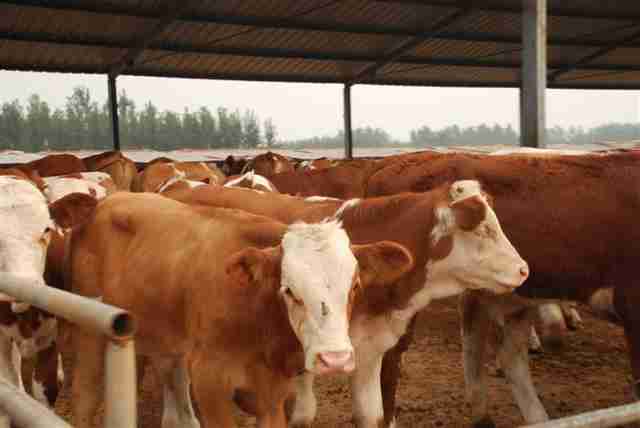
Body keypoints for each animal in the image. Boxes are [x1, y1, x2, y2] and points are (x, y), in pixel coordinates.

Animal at [66, 192, 416, 428]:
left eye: (355, 286)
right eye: (289, 290)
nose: (335, 360)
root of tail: (104, 201)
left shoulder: (272, 394)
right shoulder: (211, 382)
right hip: (89, 332)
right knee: (84, 397)